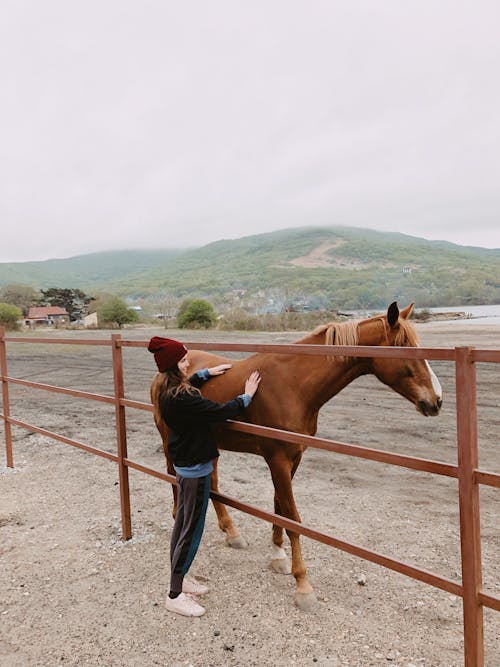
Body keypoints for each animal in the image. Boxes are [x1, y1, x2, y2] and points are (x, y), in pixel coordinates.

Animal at [149, 302, 442, 612]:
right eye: (407, 350)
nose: (436, 401)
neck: (294, 383)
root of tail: (162, 377)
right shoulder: (277, 459)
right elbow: (293, 518)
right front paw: (303, 585)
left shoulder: (292, 459)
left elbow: (279, 507)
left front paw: (278, 556)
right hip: (169, 442)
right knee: (175, 480)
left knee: (212, 484)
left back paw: (232, 533)